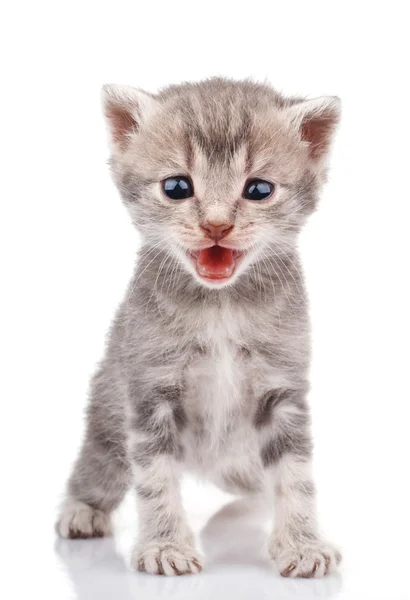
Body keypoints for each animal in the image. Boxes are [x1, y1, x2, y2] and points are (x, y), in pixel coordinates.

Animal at [55, 77, 342, 580]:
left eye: (259, 189)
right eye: (177, 186)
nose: (216, 225)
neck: (220, 305)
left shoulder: (283, 388)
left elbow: (295, 475)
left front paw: (303, 543)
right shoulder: (149, 391)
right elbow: (155, 478)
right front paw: (165, 546)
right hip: (109, 416)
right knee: (99, 465)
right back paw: (81, 509)